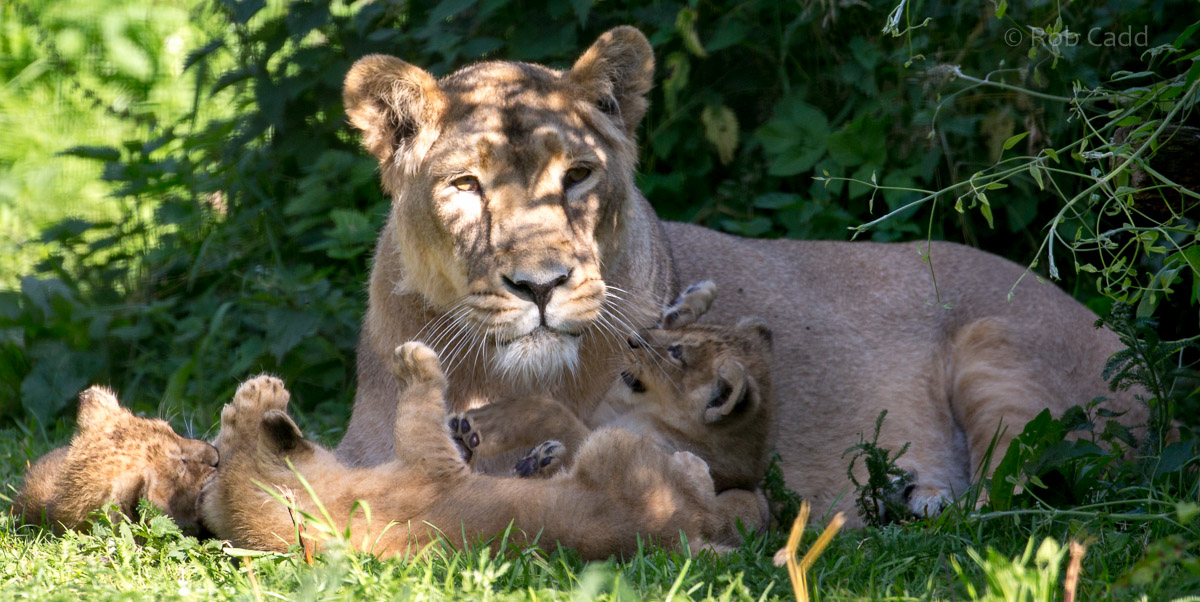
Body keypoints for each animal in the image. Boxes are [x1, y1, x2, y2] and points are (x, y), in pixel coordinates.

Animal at [197, 351, 724, 560]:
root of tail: (682, 537)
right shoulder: (428, 459)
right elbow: (414, 412)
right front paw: (413, 362)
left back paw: (538, 461)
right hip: (615, 447)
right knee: (697, 484)